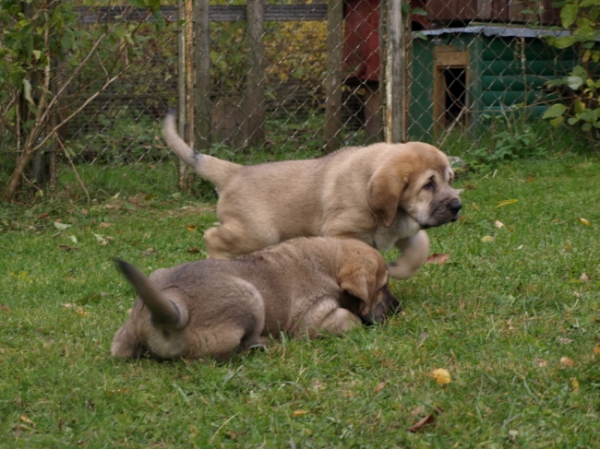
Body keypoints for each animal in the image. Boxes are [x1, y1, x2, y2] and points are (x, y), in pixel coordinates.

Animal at [111, 238, 398, 360]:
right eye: (383, 286)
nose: (399, 307)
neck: (329, 263)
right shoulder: (314, 321)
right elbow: (351, 319)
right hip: (250, 297)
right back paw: (264, 345)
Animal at [162, 111, 462, 278]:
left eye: (450, 179)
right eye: (428, 184)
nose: (457, 206)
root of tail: (235, 172)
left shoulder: (406, 230)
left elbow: (419, 250)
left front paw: (398, 268)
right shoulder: (343, 233)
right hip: (257, 233)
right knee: (213, 236)